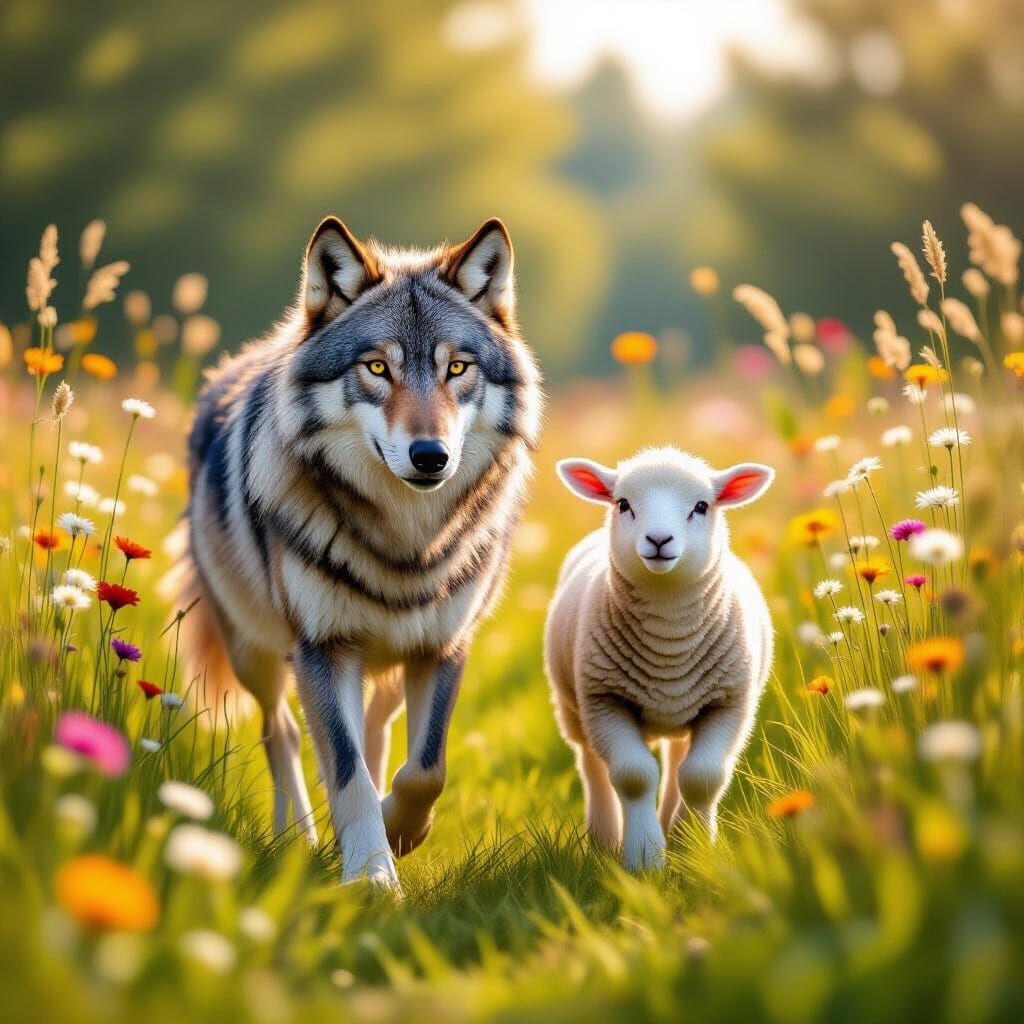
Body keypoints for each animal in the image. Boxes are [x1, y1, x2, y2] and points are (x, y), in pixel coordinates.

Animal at [178, 216, 542, 888]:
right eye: (377, 367)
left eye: (457, 368)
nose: (430, 456)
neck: (406, 543)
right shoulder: (322, 649)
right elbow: (346, 774)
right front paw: (371, 876)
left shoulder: (444, 646)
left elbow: (425, 769)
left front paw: (400, 831)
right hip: (255, 652)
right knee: (282, 729)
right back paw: (296, 836)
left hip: (390, 661)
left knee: (377, 727)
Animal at [543, 447, 774, 871]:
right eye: (623, 504)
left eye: (701, 506)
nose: (659, 539)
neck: (669, 640)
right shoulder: (605, 700)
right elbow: (634, 776)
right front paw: (644, 857)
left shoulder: (730, 703)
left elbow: (701, 778)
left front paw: (694, 847)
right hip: (571, 706)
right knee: (590, 762)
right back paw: (604, 837)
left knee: (677, 761)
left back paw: (674, 828)